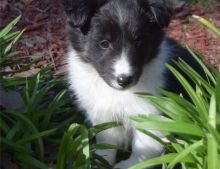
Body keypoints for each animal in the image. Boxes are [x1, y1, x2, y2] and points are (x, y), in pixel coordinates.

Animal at [63, 0, 201, 168]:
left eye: (138, 42)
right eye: (104, 43)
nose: (124, 80)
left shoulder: (150, 113)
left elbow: (145, 147)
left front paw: (129, 165)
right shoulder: (104, 113)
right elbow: (107, 139)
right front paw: (100, 160)